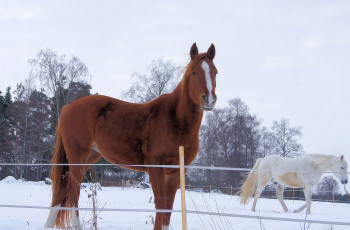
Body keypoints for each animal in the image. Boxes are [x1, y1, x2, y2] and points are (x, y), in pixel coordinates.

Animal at [44, 42, 217, 228]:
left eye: (215, 72)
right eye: (194, 72)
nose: (209, 99)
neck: (174, 120)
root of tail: (66, 108)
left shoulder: (175, 172)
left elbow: (167, 209)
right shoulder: (156, 168)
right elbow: (161, 205)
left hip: (88, 157)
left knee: (62, 190)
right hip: (78, 157)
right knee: (72, 193)